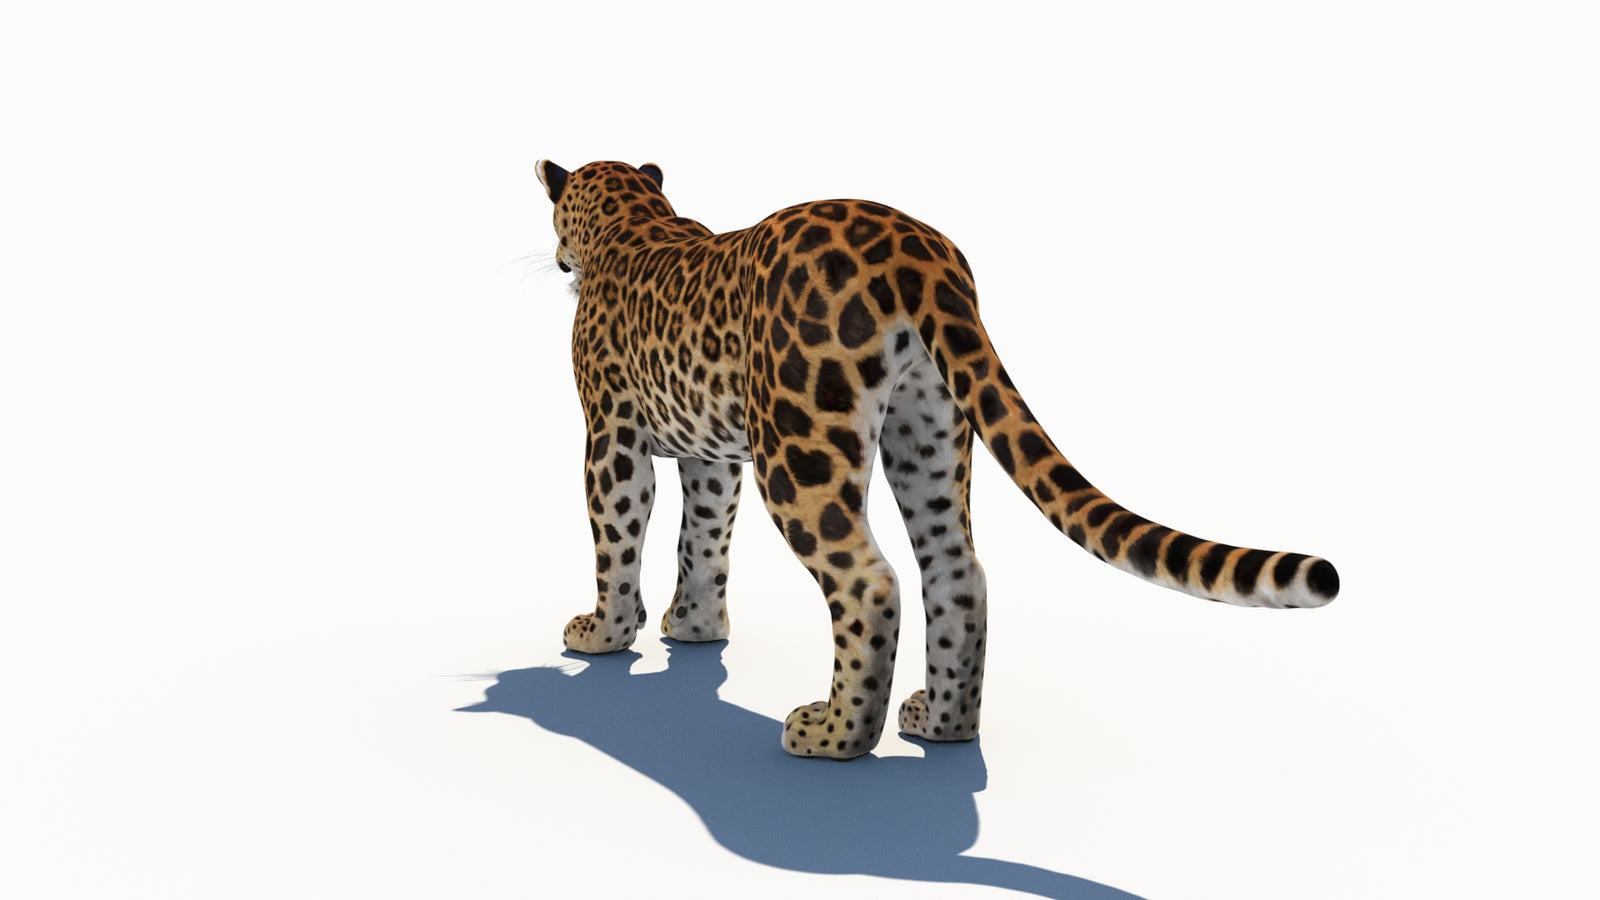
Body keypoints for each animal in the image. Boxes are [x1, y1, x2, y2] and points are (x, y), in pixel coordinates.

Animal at [534, 159, 1340, 760]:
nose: (557, 257)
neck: (634, 220)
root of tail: (913, 246)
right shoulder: (712, 455)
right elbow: (702, 540)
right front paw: (694, 627)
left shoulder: (613, 435)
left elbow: (619, 537)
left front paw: (603, 634)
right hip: (932, 425)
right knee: (957, 571)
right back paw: (943, 723)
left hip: (800, 446)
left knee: (869, 582)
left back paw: (834, 735)